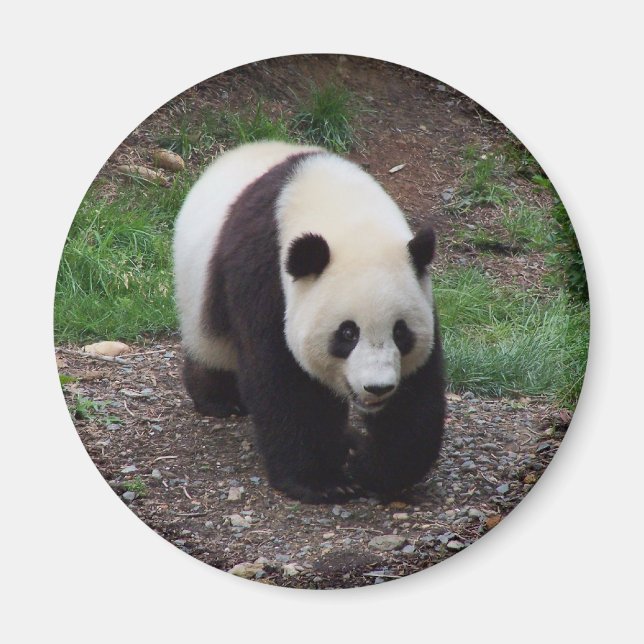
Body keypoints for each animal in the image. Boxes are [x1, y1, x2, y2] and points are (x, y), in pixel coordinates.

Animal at [173, 141, 445, 503]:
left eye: (401, 332)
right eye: (347, 332)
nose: (378, 387)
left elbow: (417, 393)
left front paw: (373, 468)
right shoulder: (264, 273)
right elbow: (285, 380)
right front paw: (324, 481)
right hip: (198, 289)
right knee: (212, 347)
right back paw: (220, 399)